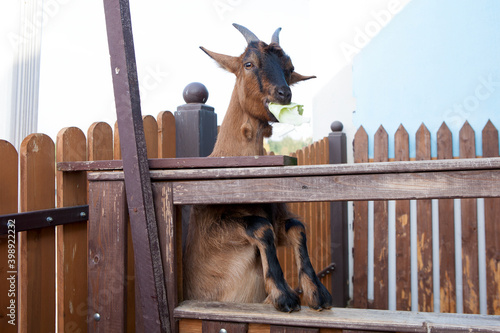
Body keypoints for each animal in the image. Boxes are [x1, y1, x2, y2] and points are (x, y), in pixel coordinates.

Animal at [184, 24, 332, 312]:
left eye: (290, 68)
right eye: (248, 63)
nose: (284, 94)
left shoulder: (278, 219)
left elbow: (295, 225)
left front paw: (317, 293)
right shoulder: (213, 233)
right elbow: (261, 226)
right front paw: (284, 295)